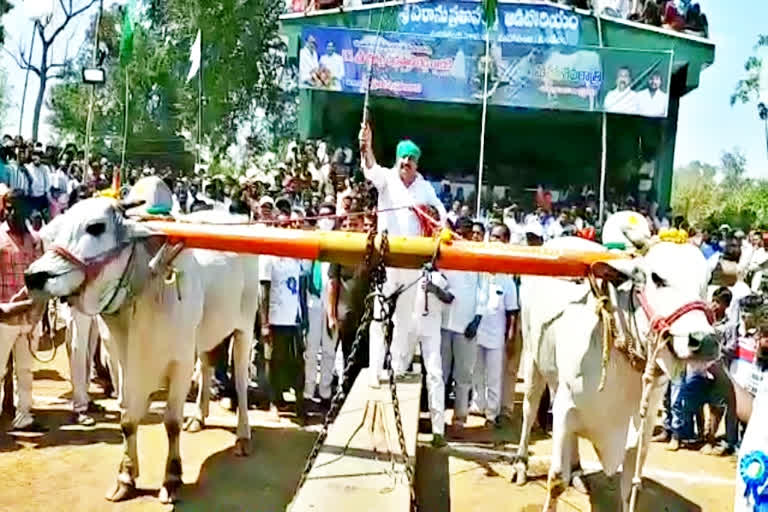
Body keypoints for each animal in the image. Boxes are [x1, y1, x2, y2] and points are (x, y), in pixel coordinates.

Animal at [24, 197, 260, 504]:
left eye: (96, 227)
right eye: (55, 229)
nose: (33, 277)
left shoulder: (180, 361)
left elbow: (171, 423)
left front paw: (172, 479)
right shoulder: (122, 361)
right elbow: (127, 419)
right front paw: (125, 478)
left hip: (244, 325)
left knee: (241, 382)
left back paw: (243, 436)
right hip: (206, 335)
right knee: (208, 366)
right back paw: (198, 417)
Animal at [516, 237, 720, 512]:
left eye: (708, 280)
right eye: (656, 278)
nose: (705, 341)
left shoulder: (642, 427)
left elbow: (629, 486)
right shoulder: (565, 408)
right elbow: (556, 480)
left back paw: (577, 471)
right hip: (531, 357)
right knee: (529, 409)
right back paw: (521, 464)